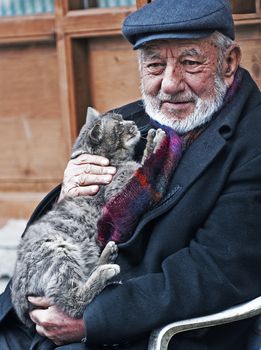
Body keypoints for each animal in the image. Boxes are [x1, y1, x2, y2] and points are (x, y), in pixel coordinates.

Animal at [11, 106, 165, 328]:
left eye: (123, 118)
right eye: (118, 126)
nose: (133, 124)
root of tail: (20, 305)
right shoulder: (123, 190)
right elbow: (144, 166)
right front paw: (155, 142)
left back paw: (106, 257)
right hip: (57, 252)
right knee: (73, 301)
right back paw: (104, 272)